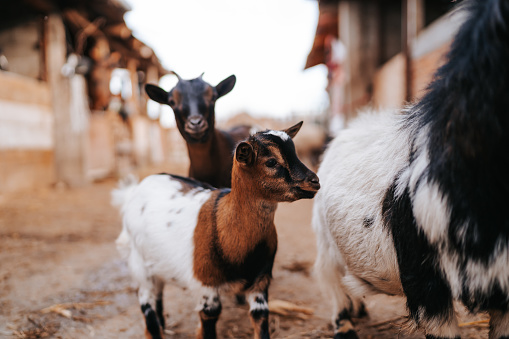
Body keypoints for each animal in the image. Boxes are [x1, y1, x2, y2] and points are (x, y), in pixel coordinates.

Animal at [112, 123, 318, 339]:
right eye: (271, 161)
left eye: (296, 153)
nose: (314, 181)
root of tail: (135, 190)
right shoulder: (207, 288)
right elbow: (209, 325)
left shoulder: (260, 284)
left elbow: (261, 322)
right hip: (138, 263)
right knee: (147, 305)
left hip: (156, 263)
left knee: (158, 294)